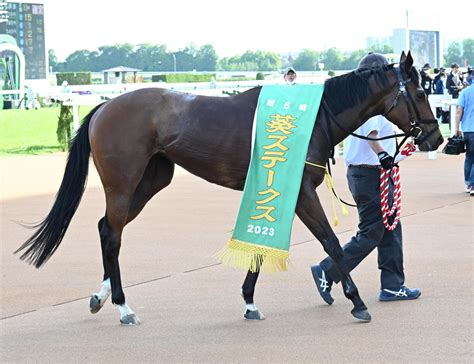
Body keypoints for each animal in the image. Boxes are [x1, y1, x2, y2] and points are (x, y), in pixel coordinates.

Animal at [15, 50, 444, 324]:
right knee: (113, 234)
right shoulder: (302, 192)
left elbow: (262, 245)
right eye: (422, 91)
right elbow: (331, 243)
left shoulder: (282, 190)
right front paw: (356, 302)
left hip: (153, 180)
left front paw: (250, 301)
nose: (436, 137)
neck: (315, 117)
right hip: (123, 182)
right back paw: (123, 306)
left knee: (107, 227)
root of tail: (105, 107)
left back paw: (102, 296)